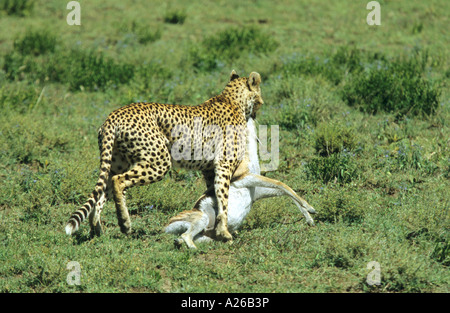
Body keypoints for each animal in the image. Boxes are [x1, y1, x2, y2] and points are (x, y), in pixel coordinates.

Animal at [63, 71, 264, 241]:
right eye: (260, 101)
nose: (256, 114)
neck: (231, 99)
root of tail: (114, 114)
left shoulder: (209, 170)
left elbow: (213, 196)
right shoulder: (223, 166)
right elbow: (223, 199)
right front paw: (224, 233)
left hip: (116, 163)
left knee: (103, 190)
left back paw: (96, 229)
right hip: (159, 162)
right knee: (118, 181)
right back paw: (124, 224)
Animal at [165, 117, 316, 249]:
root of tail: (166, 225)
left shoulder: (256, 191)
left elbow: (284, 191)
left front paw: (310, 218)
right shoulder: (246, 179)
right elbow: (281, 184)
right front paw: (311, 209)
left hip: (205, 235)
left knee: (188, 237)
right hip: (202, 219)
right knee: (186, 236)